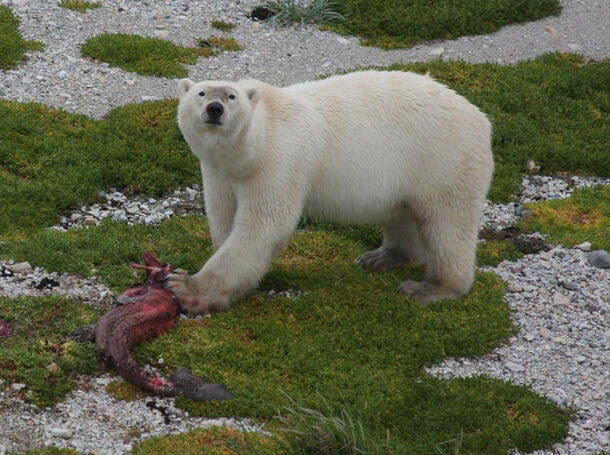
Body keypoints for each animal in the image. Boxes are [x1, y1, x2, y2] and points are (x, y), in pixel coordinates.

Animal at [169, 71, 492, 316]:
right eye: (201, 93)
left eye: (231, 96)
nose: (214, 109)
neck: (255, 144)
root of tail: (482, 119)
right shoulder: (218, 171)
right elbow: (222, 216)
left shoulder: (278, 164)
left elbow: (263, 227)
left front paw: (187, 287)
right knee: (404, 212)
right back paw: (381, 257)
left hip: (443, 159)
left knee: (447, 224)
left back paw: (431, 287)